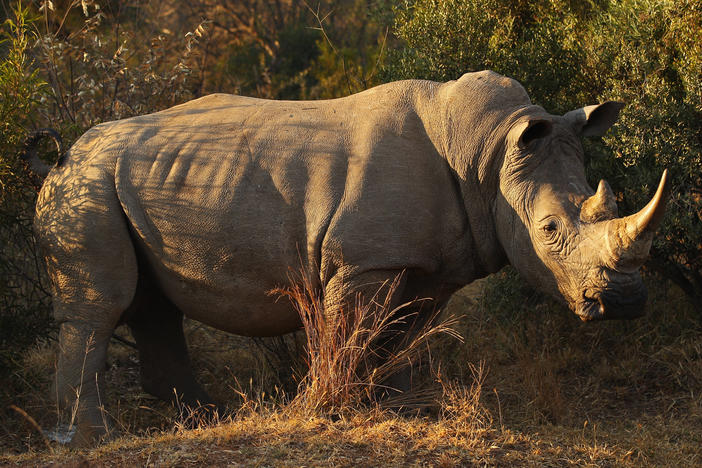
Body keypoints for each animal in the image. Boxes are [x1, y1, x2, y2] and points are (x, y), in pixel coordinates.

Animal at [24, 71, 668, 444]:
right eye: (550, 229)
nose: (626, 303)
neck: (488, 152)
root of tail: (63, 154)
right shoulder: (364, 261)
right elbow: (348, 331)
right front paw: (325, 408)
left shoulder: (429, 267)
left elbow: (399, 335)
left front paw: (393, 407)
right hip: (86, 185)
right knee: (100, 308)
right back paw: (93, 438)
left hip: (129, 179)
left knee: (153, 305)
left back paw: (202, 418)